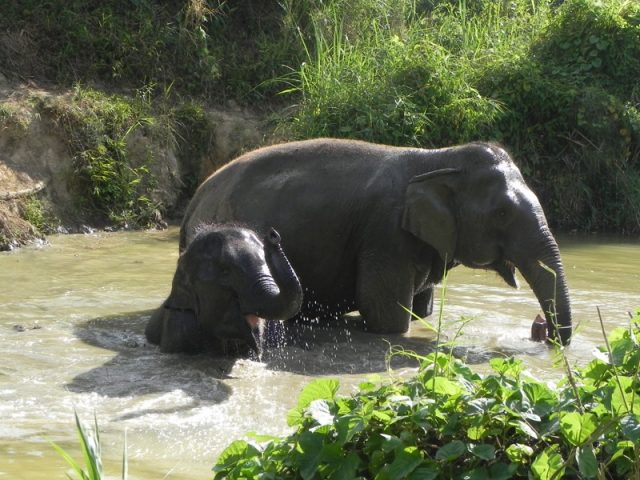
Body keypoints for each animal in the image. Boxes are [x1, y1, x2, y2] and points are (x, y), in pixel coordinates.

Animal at [179, 139, 568, 344]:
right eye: (501, 213)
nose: (541, 330)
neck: (439, 157)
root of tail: (192, 204)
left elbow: (422, 310)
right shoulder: (385, 233)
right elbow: (387, 315)